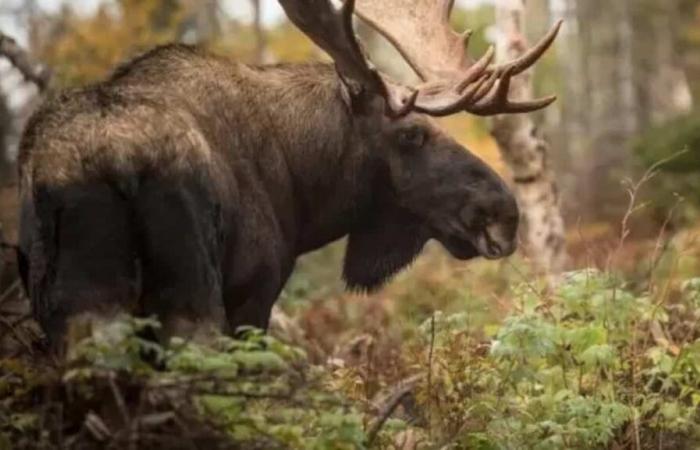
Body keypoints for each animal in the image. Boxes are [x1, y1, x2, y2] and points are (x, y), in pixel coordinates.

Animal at [16, 0, 560, 350]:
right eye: (411, 134)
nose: (504, 213)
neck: (301, 193)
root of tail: (115, 161)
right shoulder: (255, 291)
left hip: (76, 304)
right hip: (189, 295)